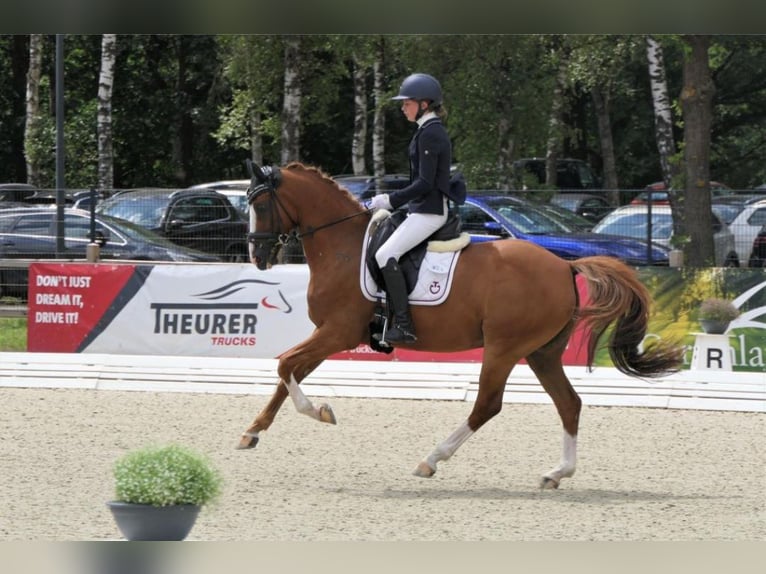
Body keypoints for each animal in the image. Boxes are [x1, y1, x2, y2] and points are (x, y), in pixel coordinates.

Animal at [237, 162, 680, 490]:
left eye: (261, 204)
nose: (257, 256)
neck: (343, 247)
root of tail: (563, 266)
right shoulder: (328, 333)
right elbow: (288, 373)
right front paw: (252, 432)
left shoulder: (338, 332)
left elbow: (284, 366)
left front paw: (322, 412)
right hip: (542, 352)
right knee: (568, 403)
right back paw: (556, 473)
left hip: (503, 347)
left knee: (487, 404)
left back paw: (431, 459)